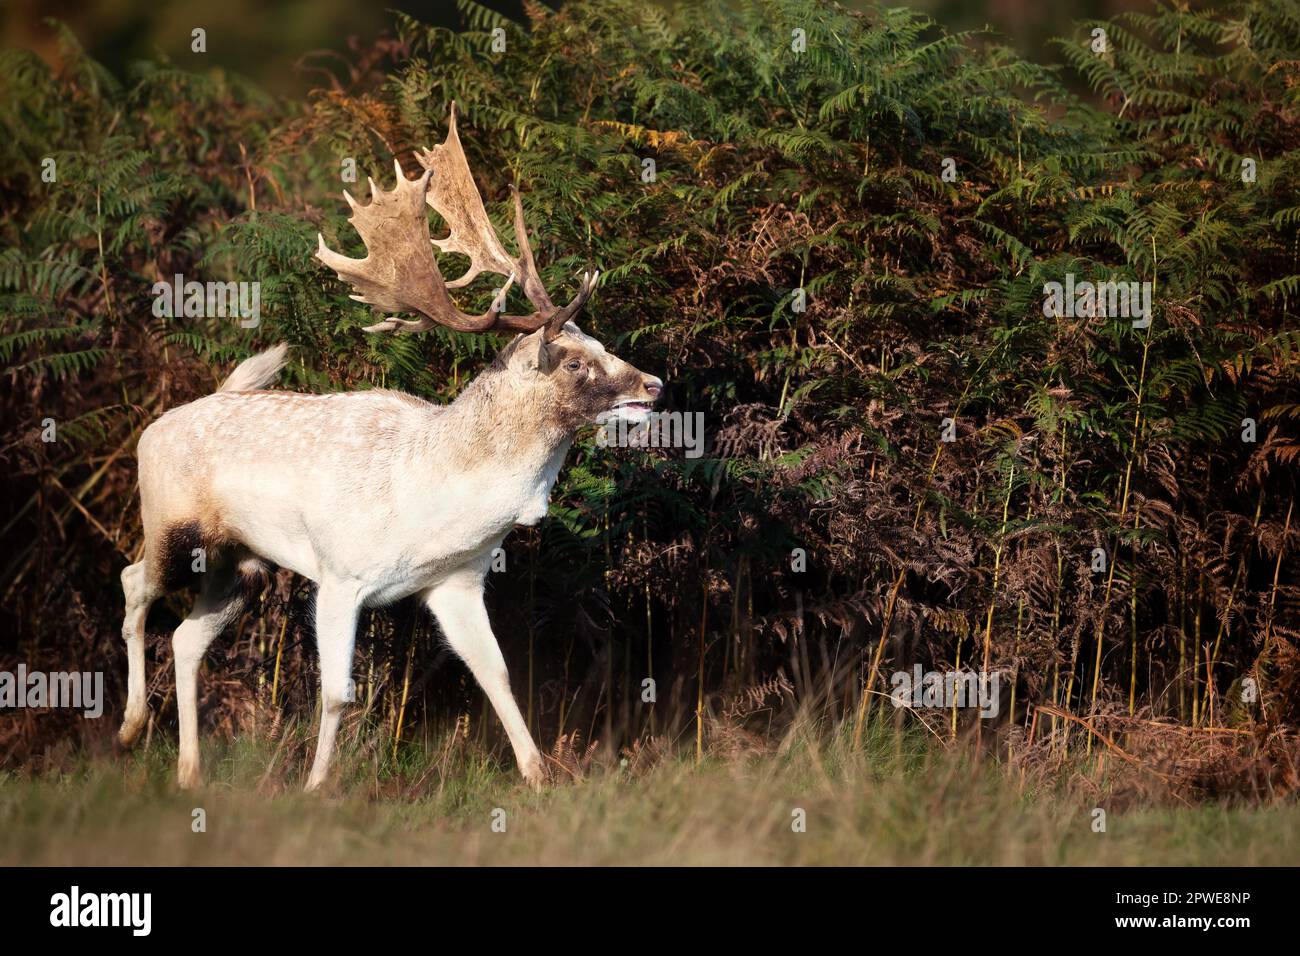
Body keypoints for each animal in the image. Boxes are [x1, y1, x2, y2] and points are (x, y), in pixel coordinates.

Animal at [116, 103, 663, 791]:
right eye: (572, 361)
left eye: (601, 342)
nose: (654, 384)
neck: (430, 501)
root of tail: (155, 428)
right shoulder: (339, 574)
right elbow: (337, 693)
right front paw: (316, 785)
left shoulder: (456, 582)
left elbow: (496, 673)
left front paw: (539, 776)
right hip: (171, 525)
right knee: (133, 583)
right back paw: (129, 728)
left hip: (241, 564)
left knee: (187, 638)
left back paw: (189, 770)